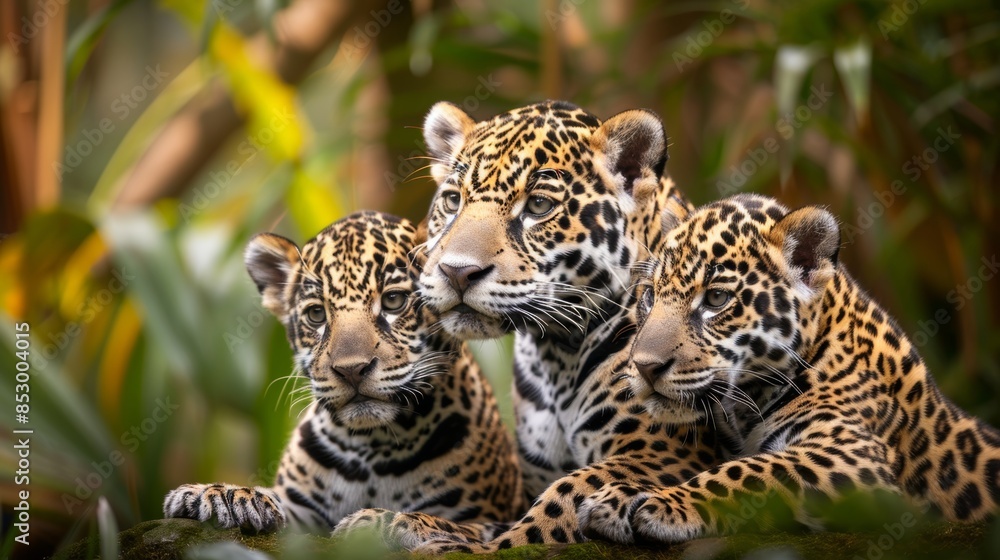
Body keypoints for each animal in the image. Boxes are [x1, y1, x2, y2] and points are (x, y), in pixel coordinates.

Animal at [163, 211, 524, 537]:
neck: (373, 451)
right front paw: (221, 495)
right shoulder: (301, 518)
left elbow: (455, 529)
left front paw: (385, 522)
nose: (351, 370)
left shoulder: (489, 518)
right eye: (316, 314)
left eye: (394, 301)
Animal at [333, 101, 723, 552]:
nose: (456, 272)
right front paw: (390, 522)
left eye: (537, 206)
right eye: (453, 200)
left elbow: (560, 501)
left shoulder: (667, 449)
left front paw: (472, 547)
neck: (556, 355)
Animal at [578, 193, 1000, 544]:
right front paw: (620, 497)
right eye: (650, 295)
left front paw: (664, 502)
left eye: (716, 299)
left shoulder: (852, 457)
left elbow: (746, 472)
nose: (645, 367)